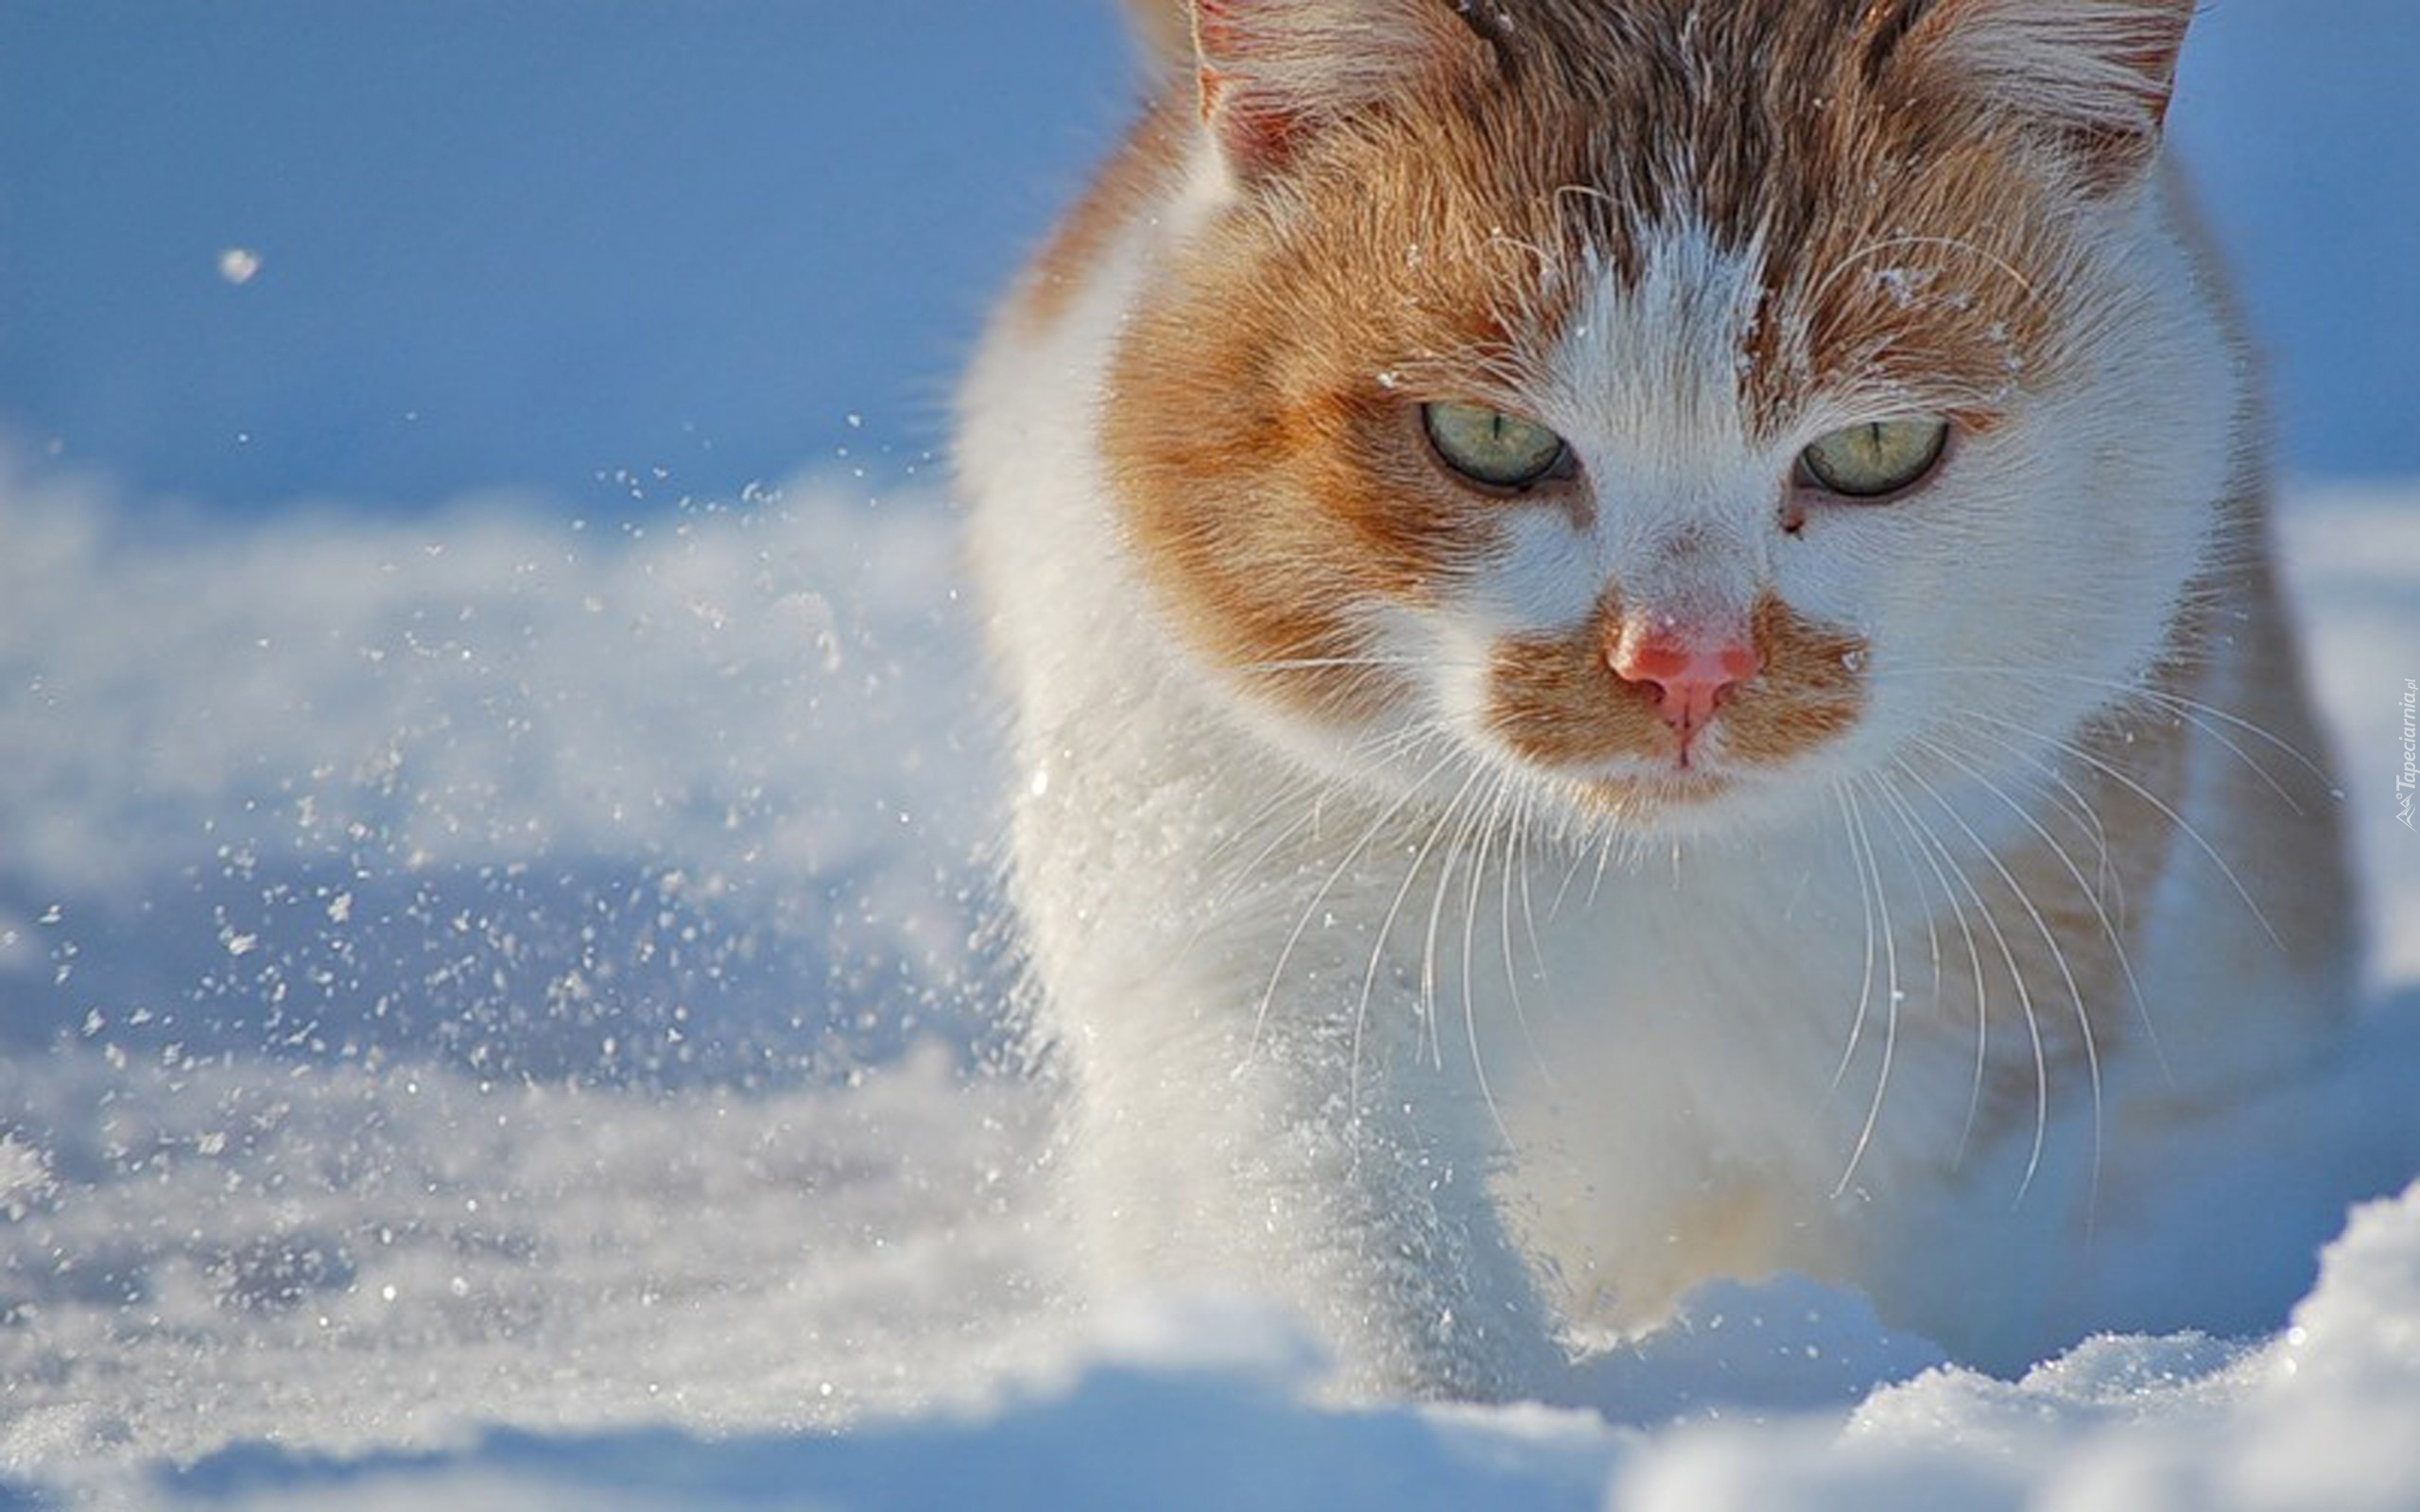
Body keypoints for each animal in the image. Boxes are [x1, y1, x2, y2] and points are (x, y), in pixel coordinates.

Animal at [953, 0, 2352, 1402]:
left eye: (1875, 449)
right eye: (1488, 438)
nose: (1685, 659)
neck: (1645, 880)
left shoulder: (1977, 1011)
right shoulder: (1249, 946)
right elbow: (1350, 1238)